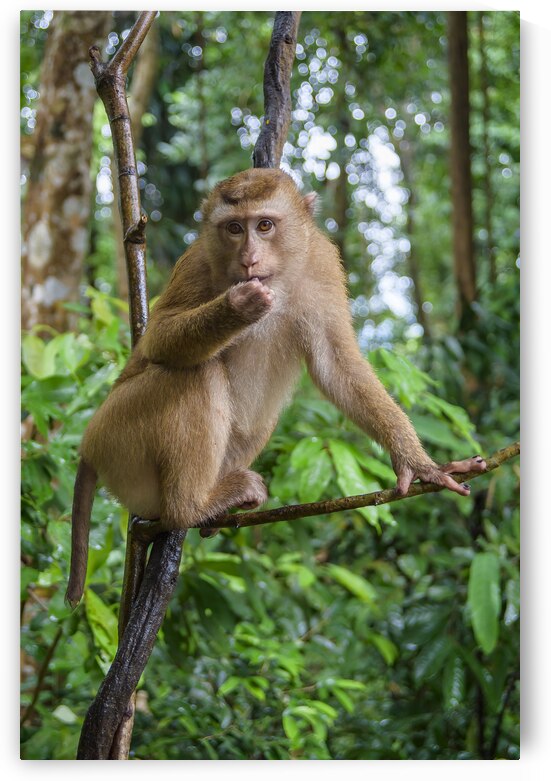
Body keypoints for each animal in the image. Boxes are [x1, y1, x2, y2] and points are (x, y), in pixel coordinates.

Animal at [65, 168, 486, 607]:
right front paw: (237, 307)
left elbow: (337, 367)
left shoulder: (322, 263)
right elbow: (158, 340)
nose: (249, 259)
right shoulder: (198, 262)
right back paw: (191, 507)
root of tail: (89, 446)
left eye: (264, 225)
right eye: (234, 228)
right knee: (197, 372)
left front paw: (419, 464)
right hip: (118, 432)